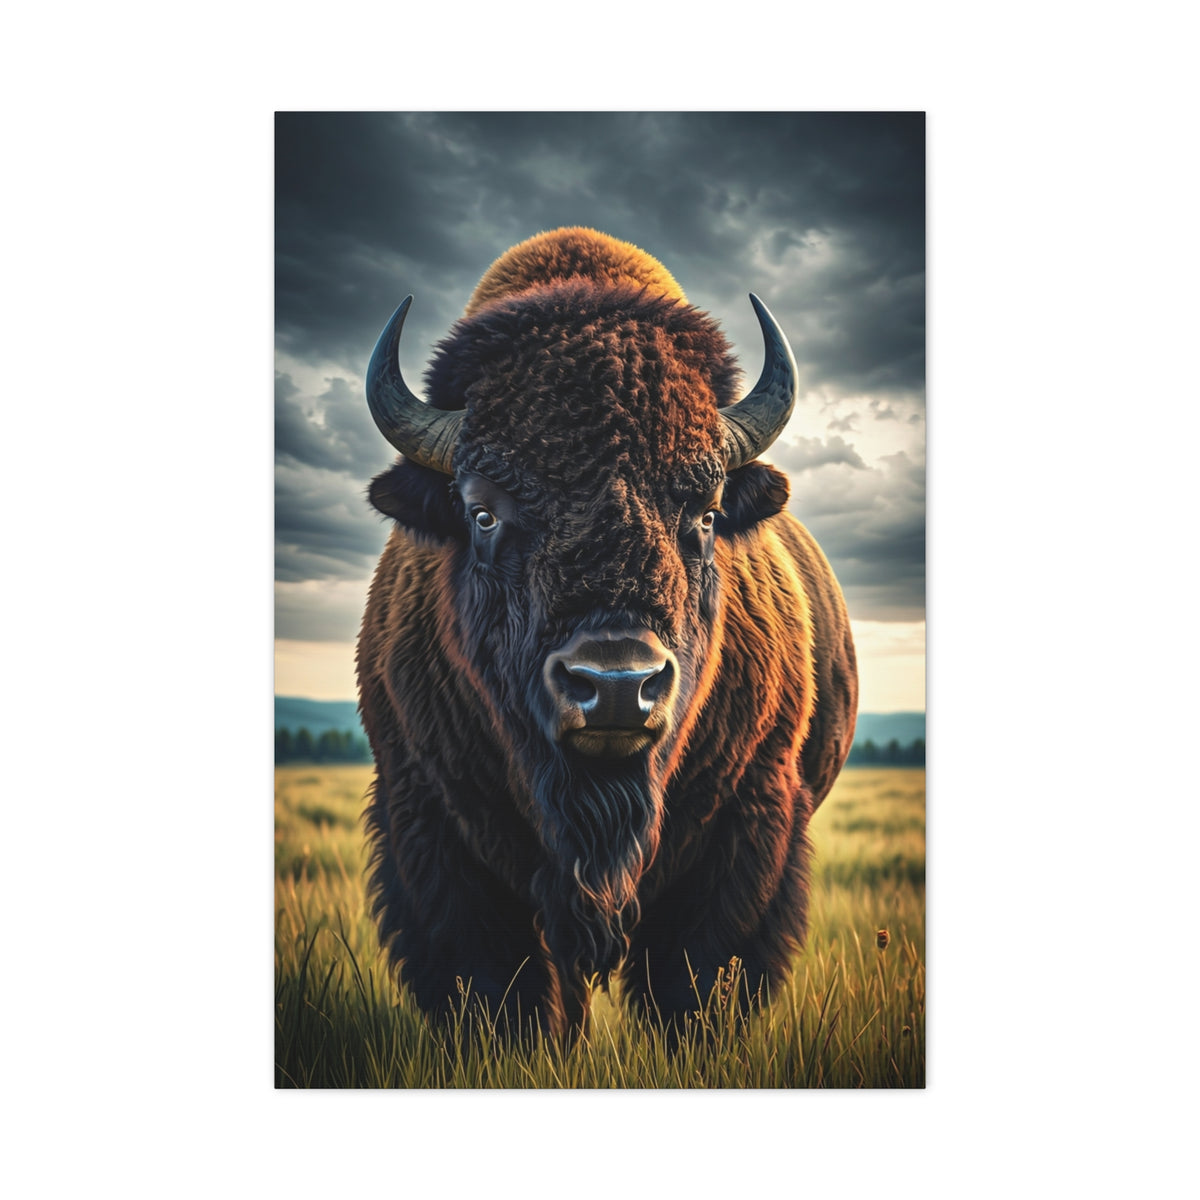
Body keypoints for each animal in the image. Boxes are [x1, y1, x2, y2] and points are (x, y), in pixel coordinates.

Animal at [357, 228, 857, 1038]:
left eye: (707, 514)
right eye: (482, 513)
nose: (618, 686)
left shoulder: (750, 817)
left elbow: (694, 982)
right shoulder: (429, 819)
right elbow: (501, 987)